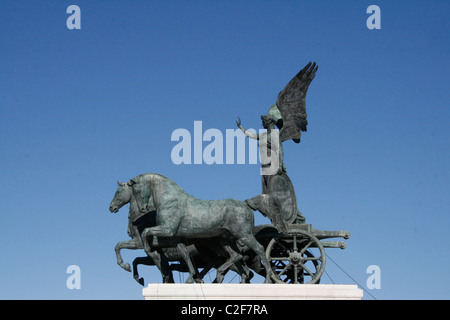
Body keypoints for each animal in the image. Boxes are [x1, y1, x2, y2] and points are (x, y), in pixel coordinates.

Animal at [128, 172, 272, 282]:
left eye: (137, 190)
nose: (142, 208)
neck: (169, 199)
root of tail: (246, 206)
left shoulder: (167, 230)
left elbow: (145, 231)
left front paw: (148, 250)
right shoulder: (174, 238)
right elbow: (185, 255)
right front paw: (191, 278)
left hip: (244, 235)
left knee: (259, 249)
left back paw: (268, 279)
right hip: (225, 239)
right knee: (237, 256)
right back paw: (225, 274)